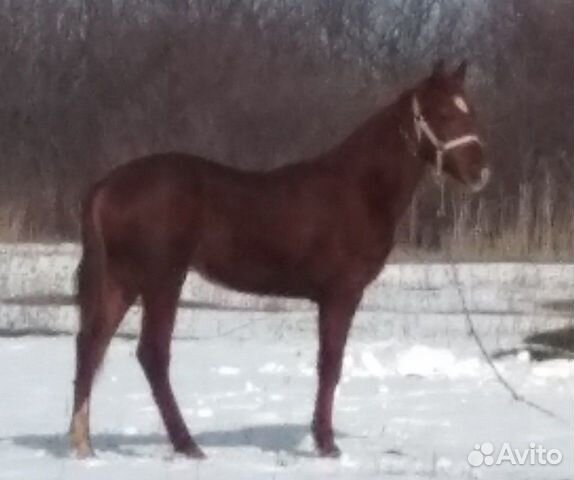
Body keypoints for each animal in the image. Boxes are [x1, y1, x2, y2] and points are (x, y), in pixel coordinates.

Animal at [67, 62, 490, 460]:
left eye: (470, 109)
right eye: (441, 113)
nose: (480, 173)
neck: (359, 189)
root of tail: (106, 186)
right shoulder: (341, 294)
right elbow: (330, 365)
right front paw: (326, 444)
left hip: (121, 281)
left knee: (91, 344)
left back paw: (83, 443)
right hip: (162, 280)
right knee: (151, 354)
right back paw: (187, 445)